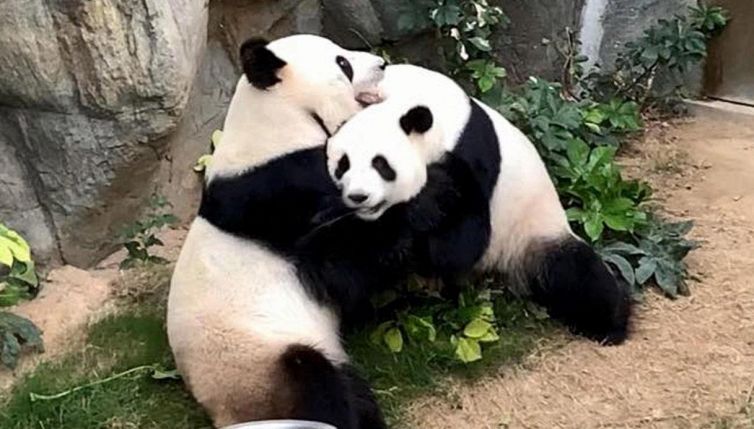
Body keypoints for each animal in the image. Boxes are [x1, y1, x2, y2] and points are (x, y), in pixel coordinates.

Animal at [167, 35, 389, 428]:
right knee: (316, 382)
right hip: (258, 363)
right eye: (343, 64)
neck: (278, 120)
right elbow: (340, 261)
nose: (382, 64)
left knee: (353, 390)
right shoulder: (282, 189)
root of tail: (222, 413)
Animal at [325, 64, 632, 345]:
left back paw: (611, 325)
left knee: (576, 274)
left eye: (381, 165)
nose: (359, 197)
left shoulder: (471, 155)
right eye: (343, 165)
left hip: (532, 233)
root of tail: (497, 274)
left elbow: (461, 244)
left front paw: (424, 204)